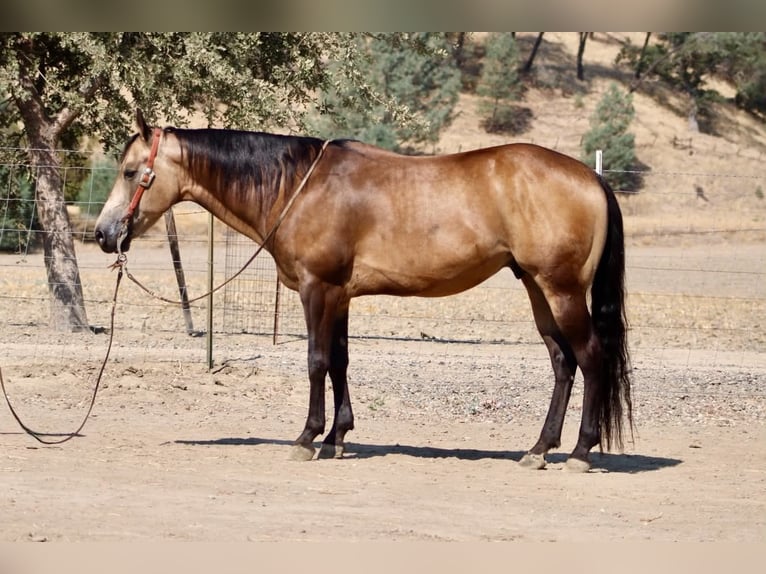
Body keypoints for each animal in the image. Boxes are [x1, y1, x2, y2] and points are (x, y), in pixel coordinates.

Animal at [95, 110, 632, 472]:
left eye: (129, 172)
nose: (103, 234)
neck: (300, 186)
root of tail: (591, 177)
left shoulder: (318, 289)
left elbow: (315, 361)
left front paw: (308, 437)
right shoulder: (340, 295)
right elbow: (339, 362)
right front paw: (338, 436)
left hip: (562, 290)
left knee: (590, 358)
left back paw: (581, 451)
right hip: (538, 289)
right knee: (563, 363)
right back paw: (539, 449)